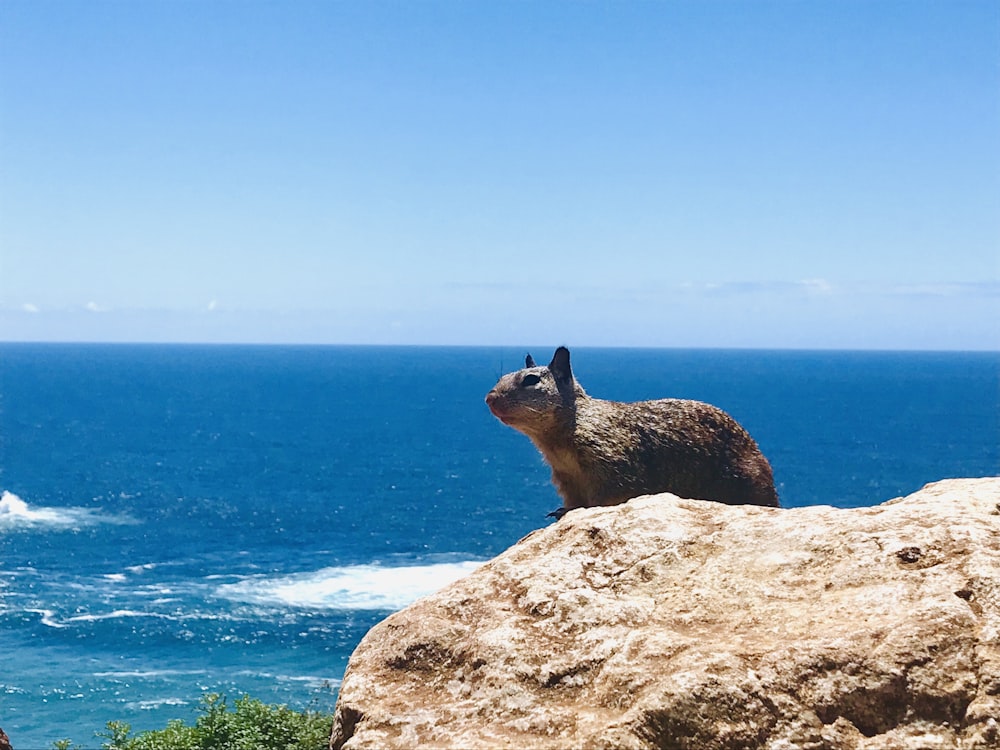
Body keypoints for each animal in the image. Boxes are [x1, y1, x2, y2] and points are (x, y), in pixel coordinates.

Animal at [486, 348, 780, 516]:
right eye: (501, 377)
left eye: (531, 380)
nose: (489, 399)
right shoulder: (566, 478)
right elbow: (573, 501)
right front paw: (562, 511)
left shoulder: (612, 462)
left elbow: (608, 497)